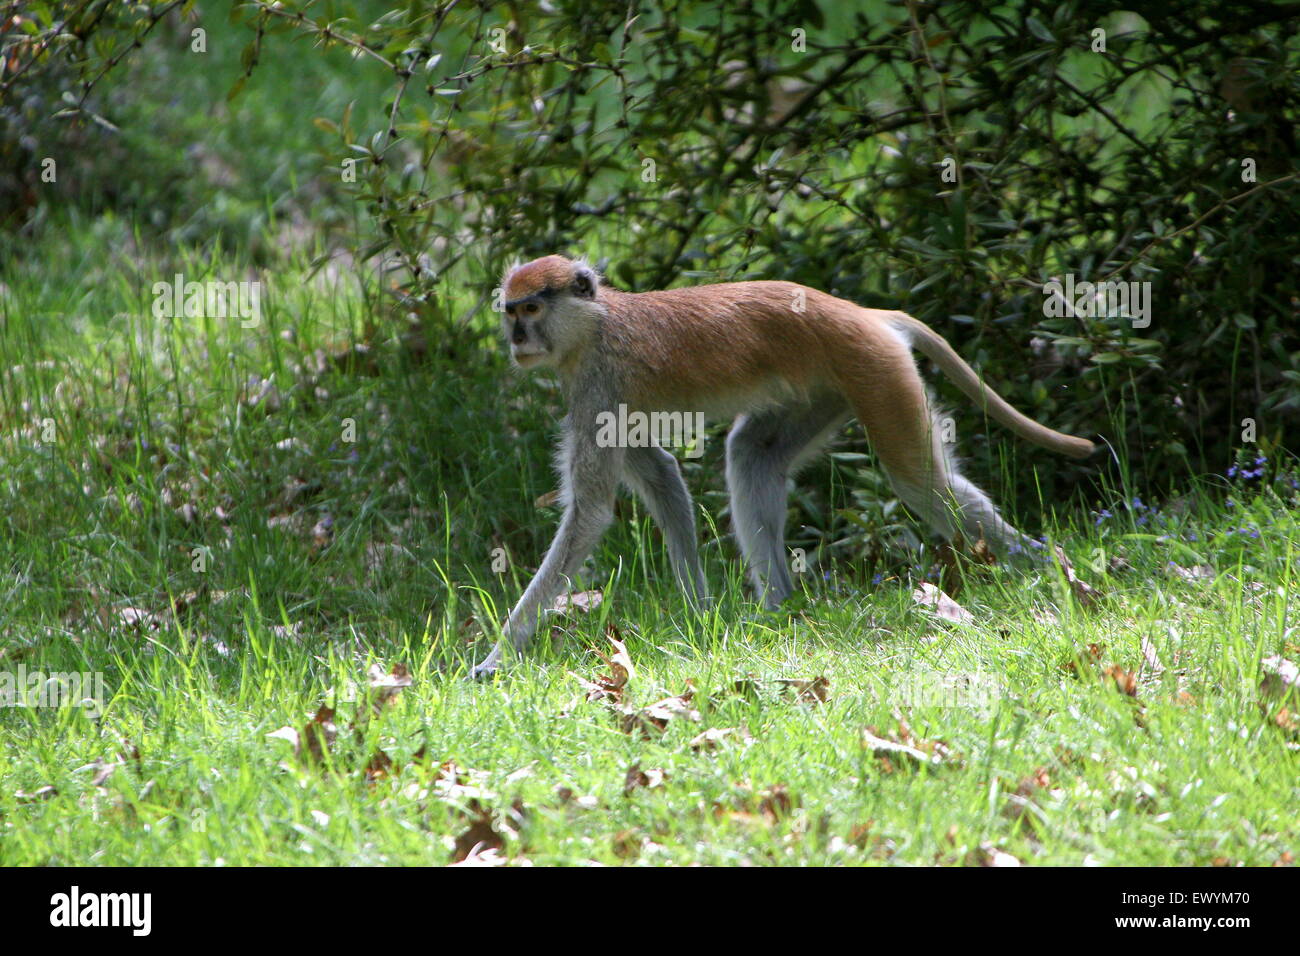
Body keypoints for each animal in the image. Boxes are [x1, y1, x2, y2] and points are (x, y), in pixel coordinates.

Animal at [471, 255, 1094, 677]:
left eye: (532, 308)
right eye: (510, 311)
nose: (517, 339)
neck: (597, 319)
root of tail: (865, 314)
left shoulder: (600, 381)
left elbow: (592, 513)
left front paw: (497, 657)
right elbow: (661, 476)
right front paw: (700, 615)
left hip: (875, 368)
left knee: (921, 484)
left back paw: (1048, 567)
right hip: (828, 386)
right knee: (752, 456)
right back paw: (776, 609)